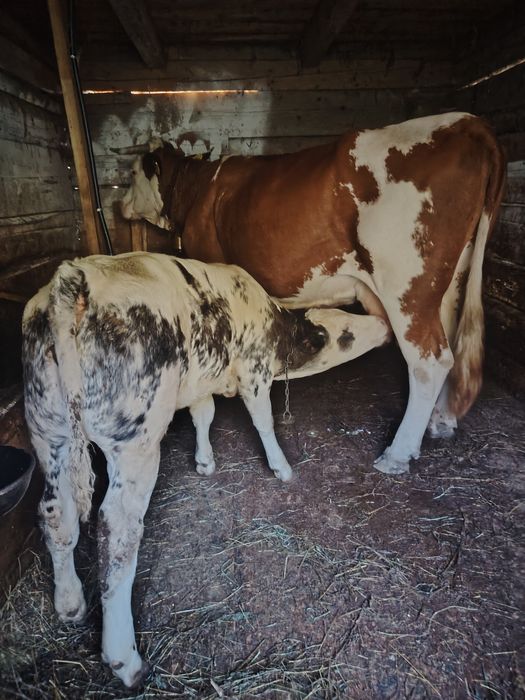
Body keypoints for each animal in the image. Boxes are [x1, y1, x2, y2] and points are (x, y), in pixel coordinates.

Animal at [22, 252, 389, 687]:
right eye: (346, 331)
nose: (385, 327)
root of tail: (74, 277)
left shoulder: (201, 381)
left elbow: (204, 413)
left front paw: (205, 460)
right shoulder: (254, 372)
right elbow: (262, 420)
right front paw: (281, 467)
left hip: (48, 431)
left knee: (55, 513)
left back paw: (69, 602)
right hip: (135, 443)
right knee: (118, 531)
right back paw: (125, 658)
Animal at [117, 112, 506, 476]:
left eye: (133, 173)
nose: (120, 204)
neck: (198, 188)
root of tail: (465, 122)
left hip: (407, 286)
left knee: (429, 360)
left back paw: (398, 453)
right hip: (449, 282)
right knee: (450, 346)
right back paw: (441, 421)